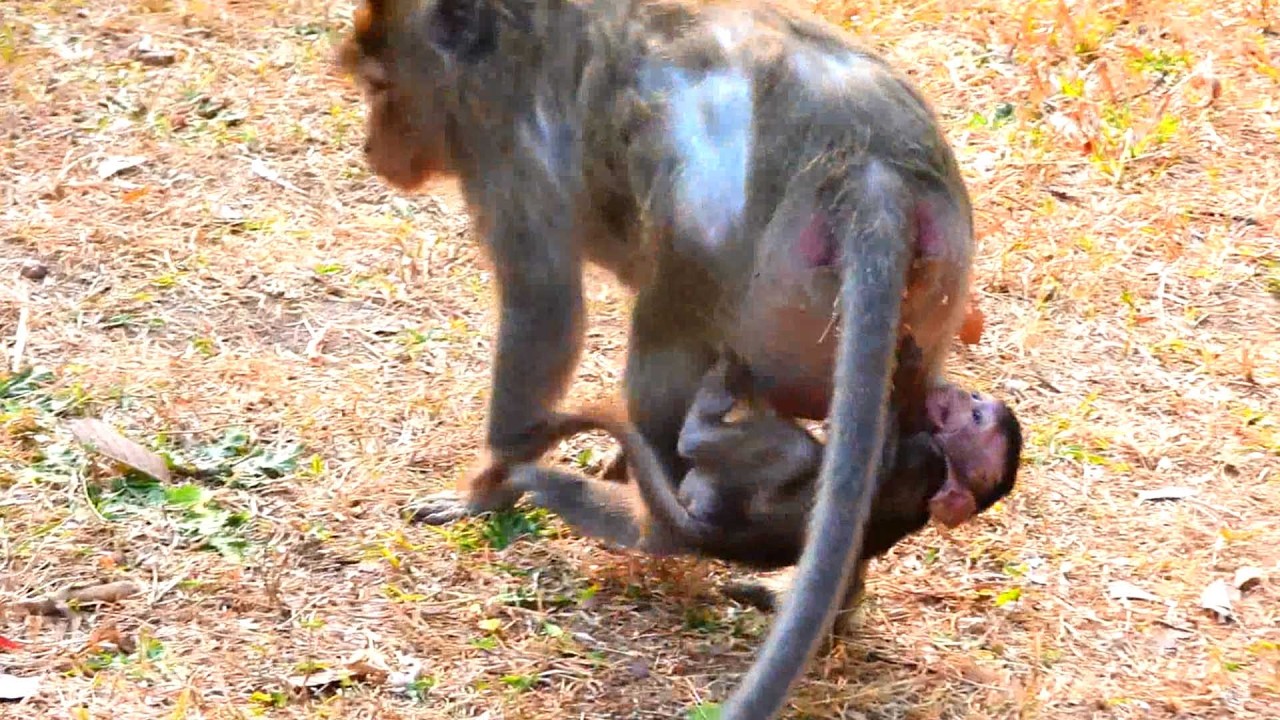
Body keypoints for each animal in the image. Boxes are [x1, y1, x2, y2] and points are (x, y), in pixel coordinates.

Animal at [340, 1, 984, 715]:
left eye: (381, 87)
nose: (371, 147)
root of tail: (873, 175)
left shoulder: (502, 142)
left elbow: (543, 307)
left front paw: (484, 488)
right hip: (931, 291)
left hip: (736, 280)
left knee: (661, 351)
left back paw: (651, 510)